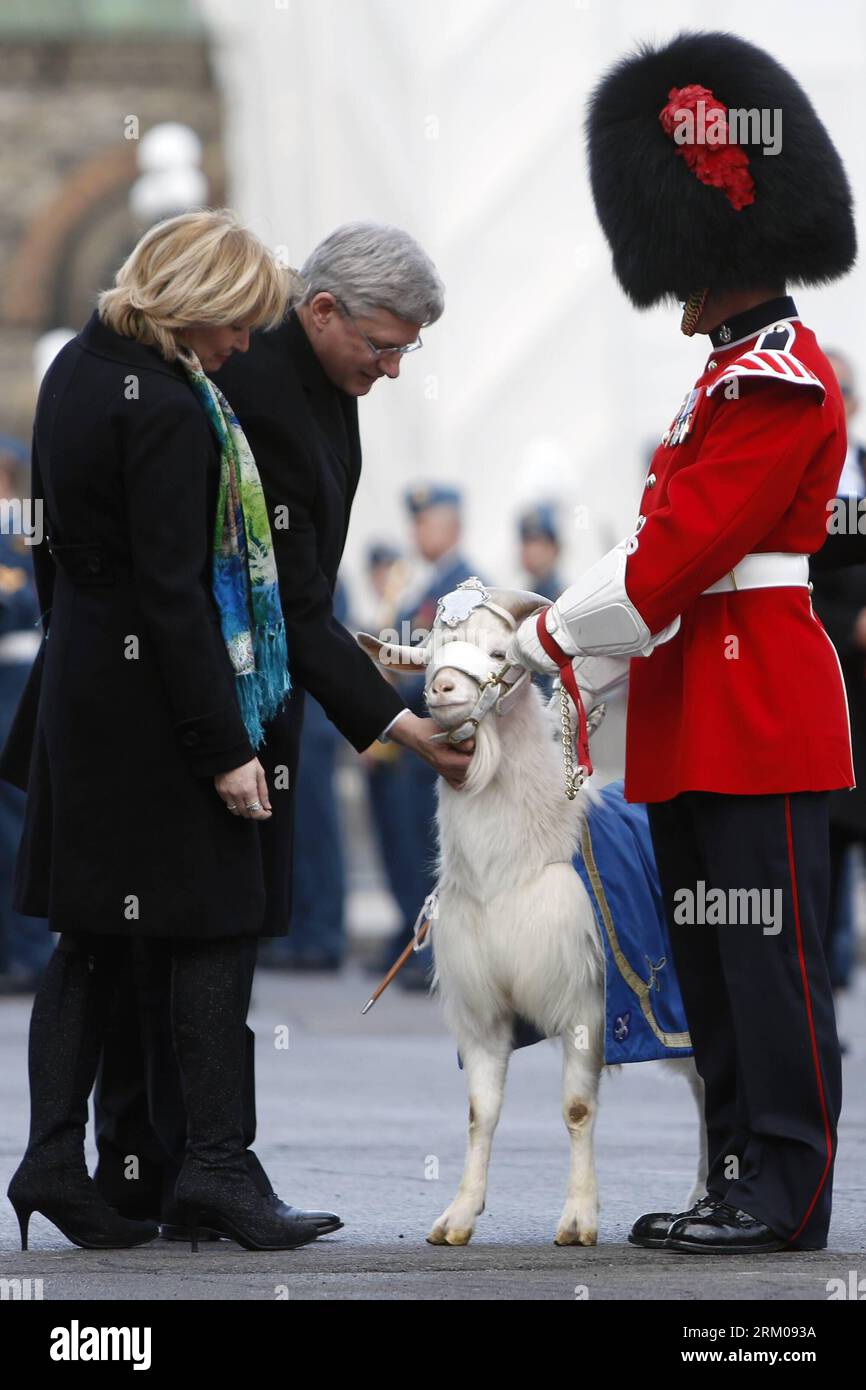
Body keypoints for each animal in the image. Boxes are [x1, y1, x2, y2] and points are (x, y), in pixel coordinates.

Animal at [358, 583, 706, 1251]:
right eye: (432, 654)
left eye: (499, 652)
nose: (443, 689)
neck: (517, 863)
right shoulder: (483, 1010)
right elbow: (480, 1113)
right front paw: (458, 1216)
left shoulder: (590, 1006)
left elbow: (576, 1109)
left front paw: (578, 1219)